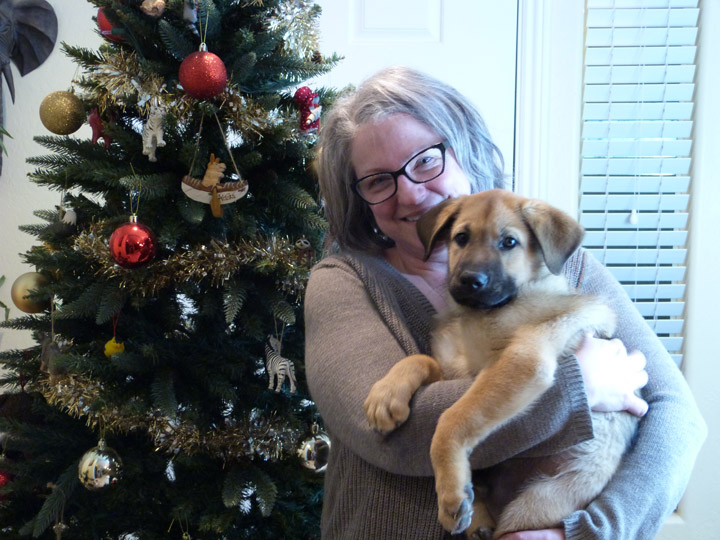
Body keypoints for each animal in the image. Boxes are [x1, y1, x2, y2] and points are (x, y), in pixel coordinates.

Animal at [362, 190, 640, 536]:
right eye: (461, 238)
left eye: (509, 242)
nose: (470, 281)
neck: (479, 315)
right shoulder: (454, 369)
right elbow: (419, 358)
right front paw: (386, 395)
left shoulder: (522, 363)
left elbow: (451, 419)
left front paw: (450, 493)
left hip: (537, 503)